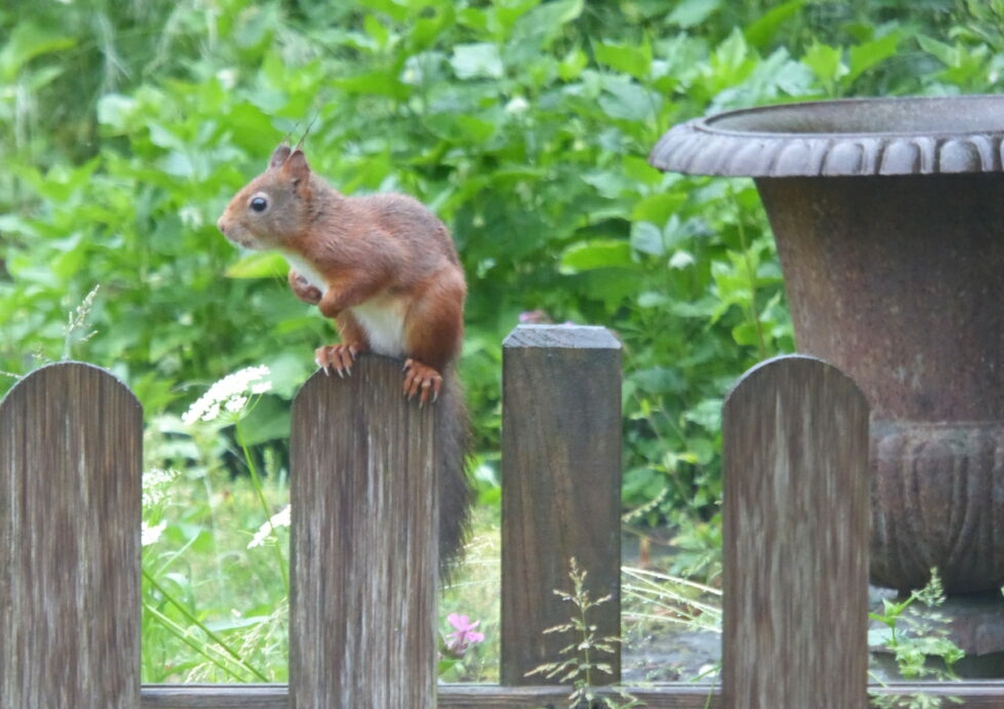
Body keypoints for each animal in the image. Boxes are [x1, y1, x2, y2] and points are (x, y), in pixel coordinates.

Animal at [214, 143, 469, 570]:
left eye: (258, 203)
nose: (221, 226)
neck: (311, 230)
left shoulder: (370, 253)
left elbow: (370, 276)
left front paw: (323, 302)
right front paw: (302, 288)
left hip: (437, 309)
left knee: (430, 356)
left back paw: (423, 371)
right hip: (357, 322)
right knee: (359, 341)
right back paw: (340, 351)